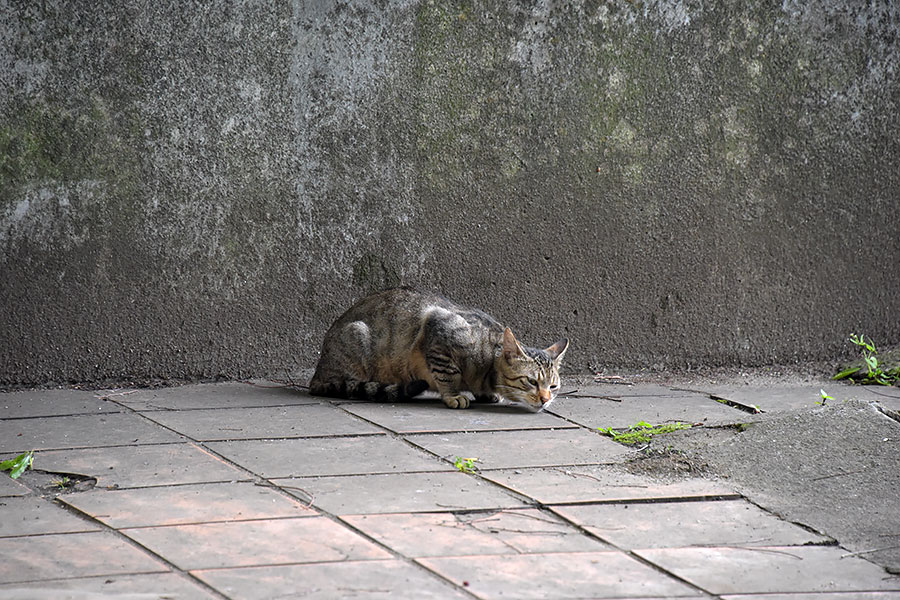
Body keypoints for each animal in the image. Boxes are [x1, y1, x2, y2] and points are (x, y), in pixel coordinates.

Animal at [306, 288, 568, 410]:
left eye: (553, 386)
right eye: (531, 382)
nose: (545, 400)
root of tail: (318, 373)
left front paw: (484, 394)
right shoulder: (438, 330)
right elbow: (447, 374)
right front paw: (454, 396)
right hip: (357, 335)